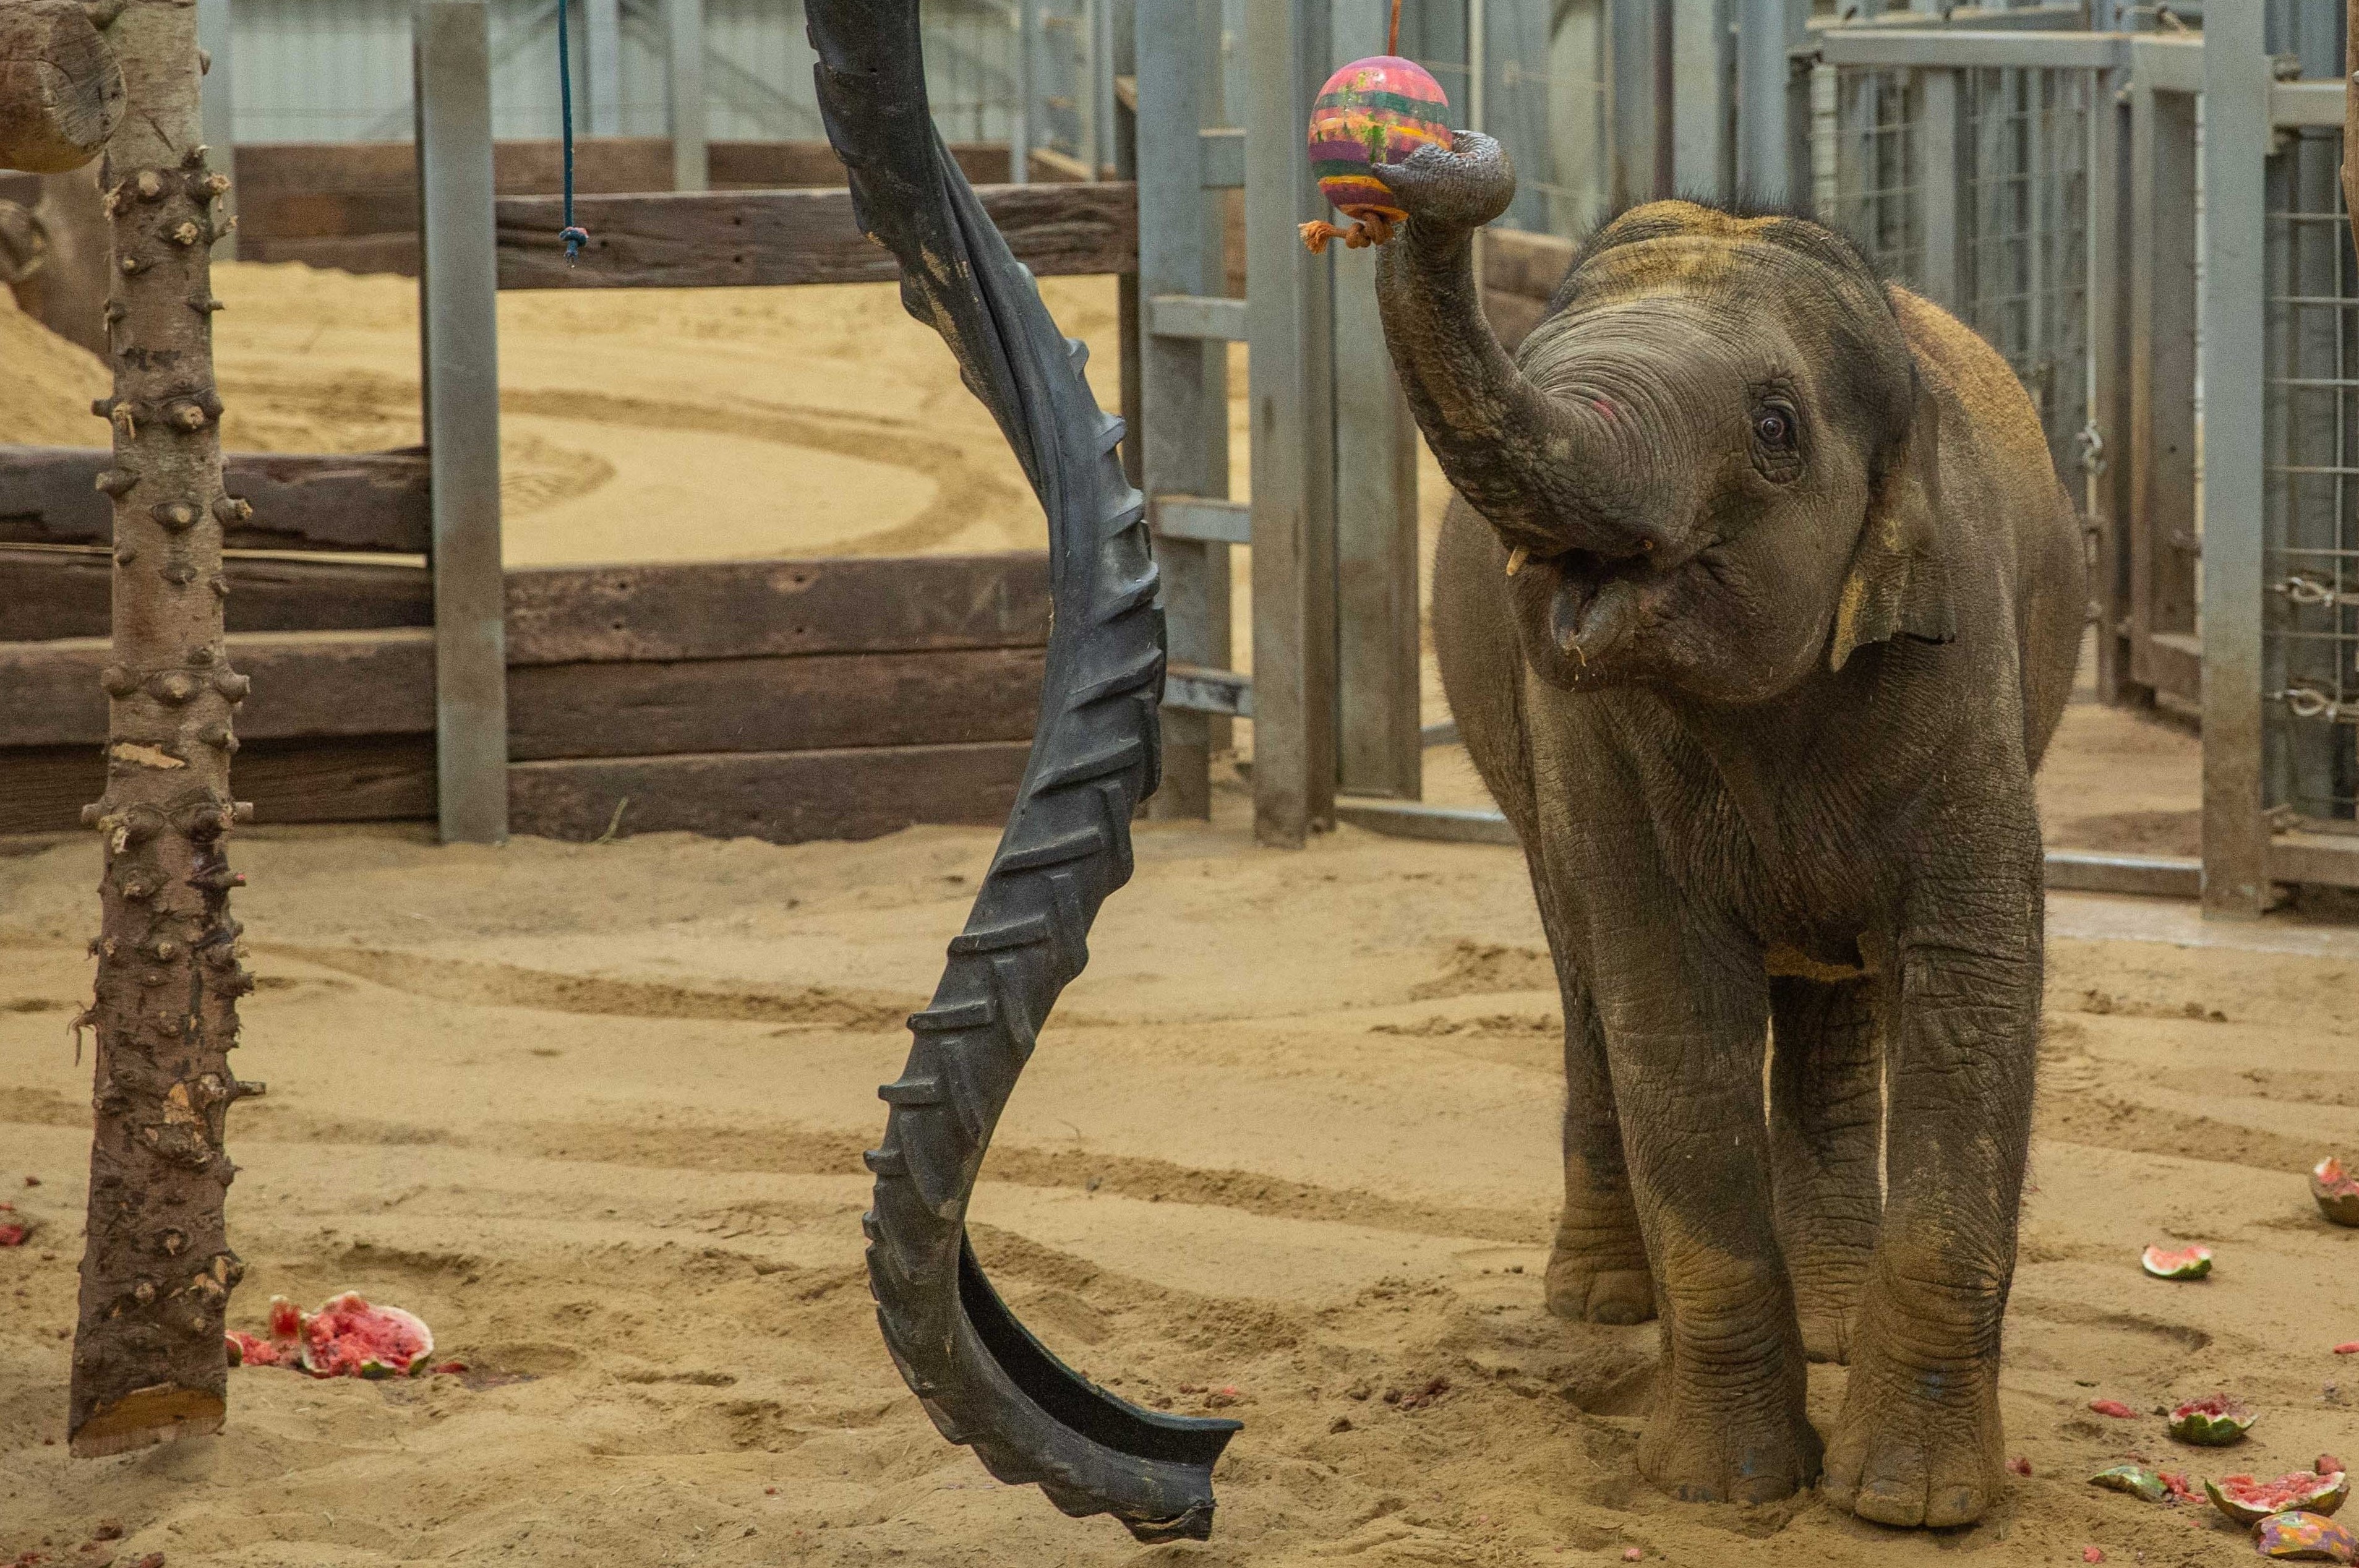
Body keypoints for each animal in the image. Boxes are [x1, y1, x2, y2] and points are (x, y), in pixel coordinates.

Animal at [1368, 137, 2085, 1528]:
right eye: (1536, 360)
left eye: (1772, 430)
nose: (1440, 160)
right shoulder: (1591, 743)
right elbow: (1664, 1000)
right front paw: (1716, 1489)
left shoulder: (1960, 650)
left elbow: (1972, 985)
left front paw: (1910, 1509)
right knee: (1587, 980)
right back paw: (1599, 1302)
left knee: (1831, 998)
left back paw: (1831, 1315)